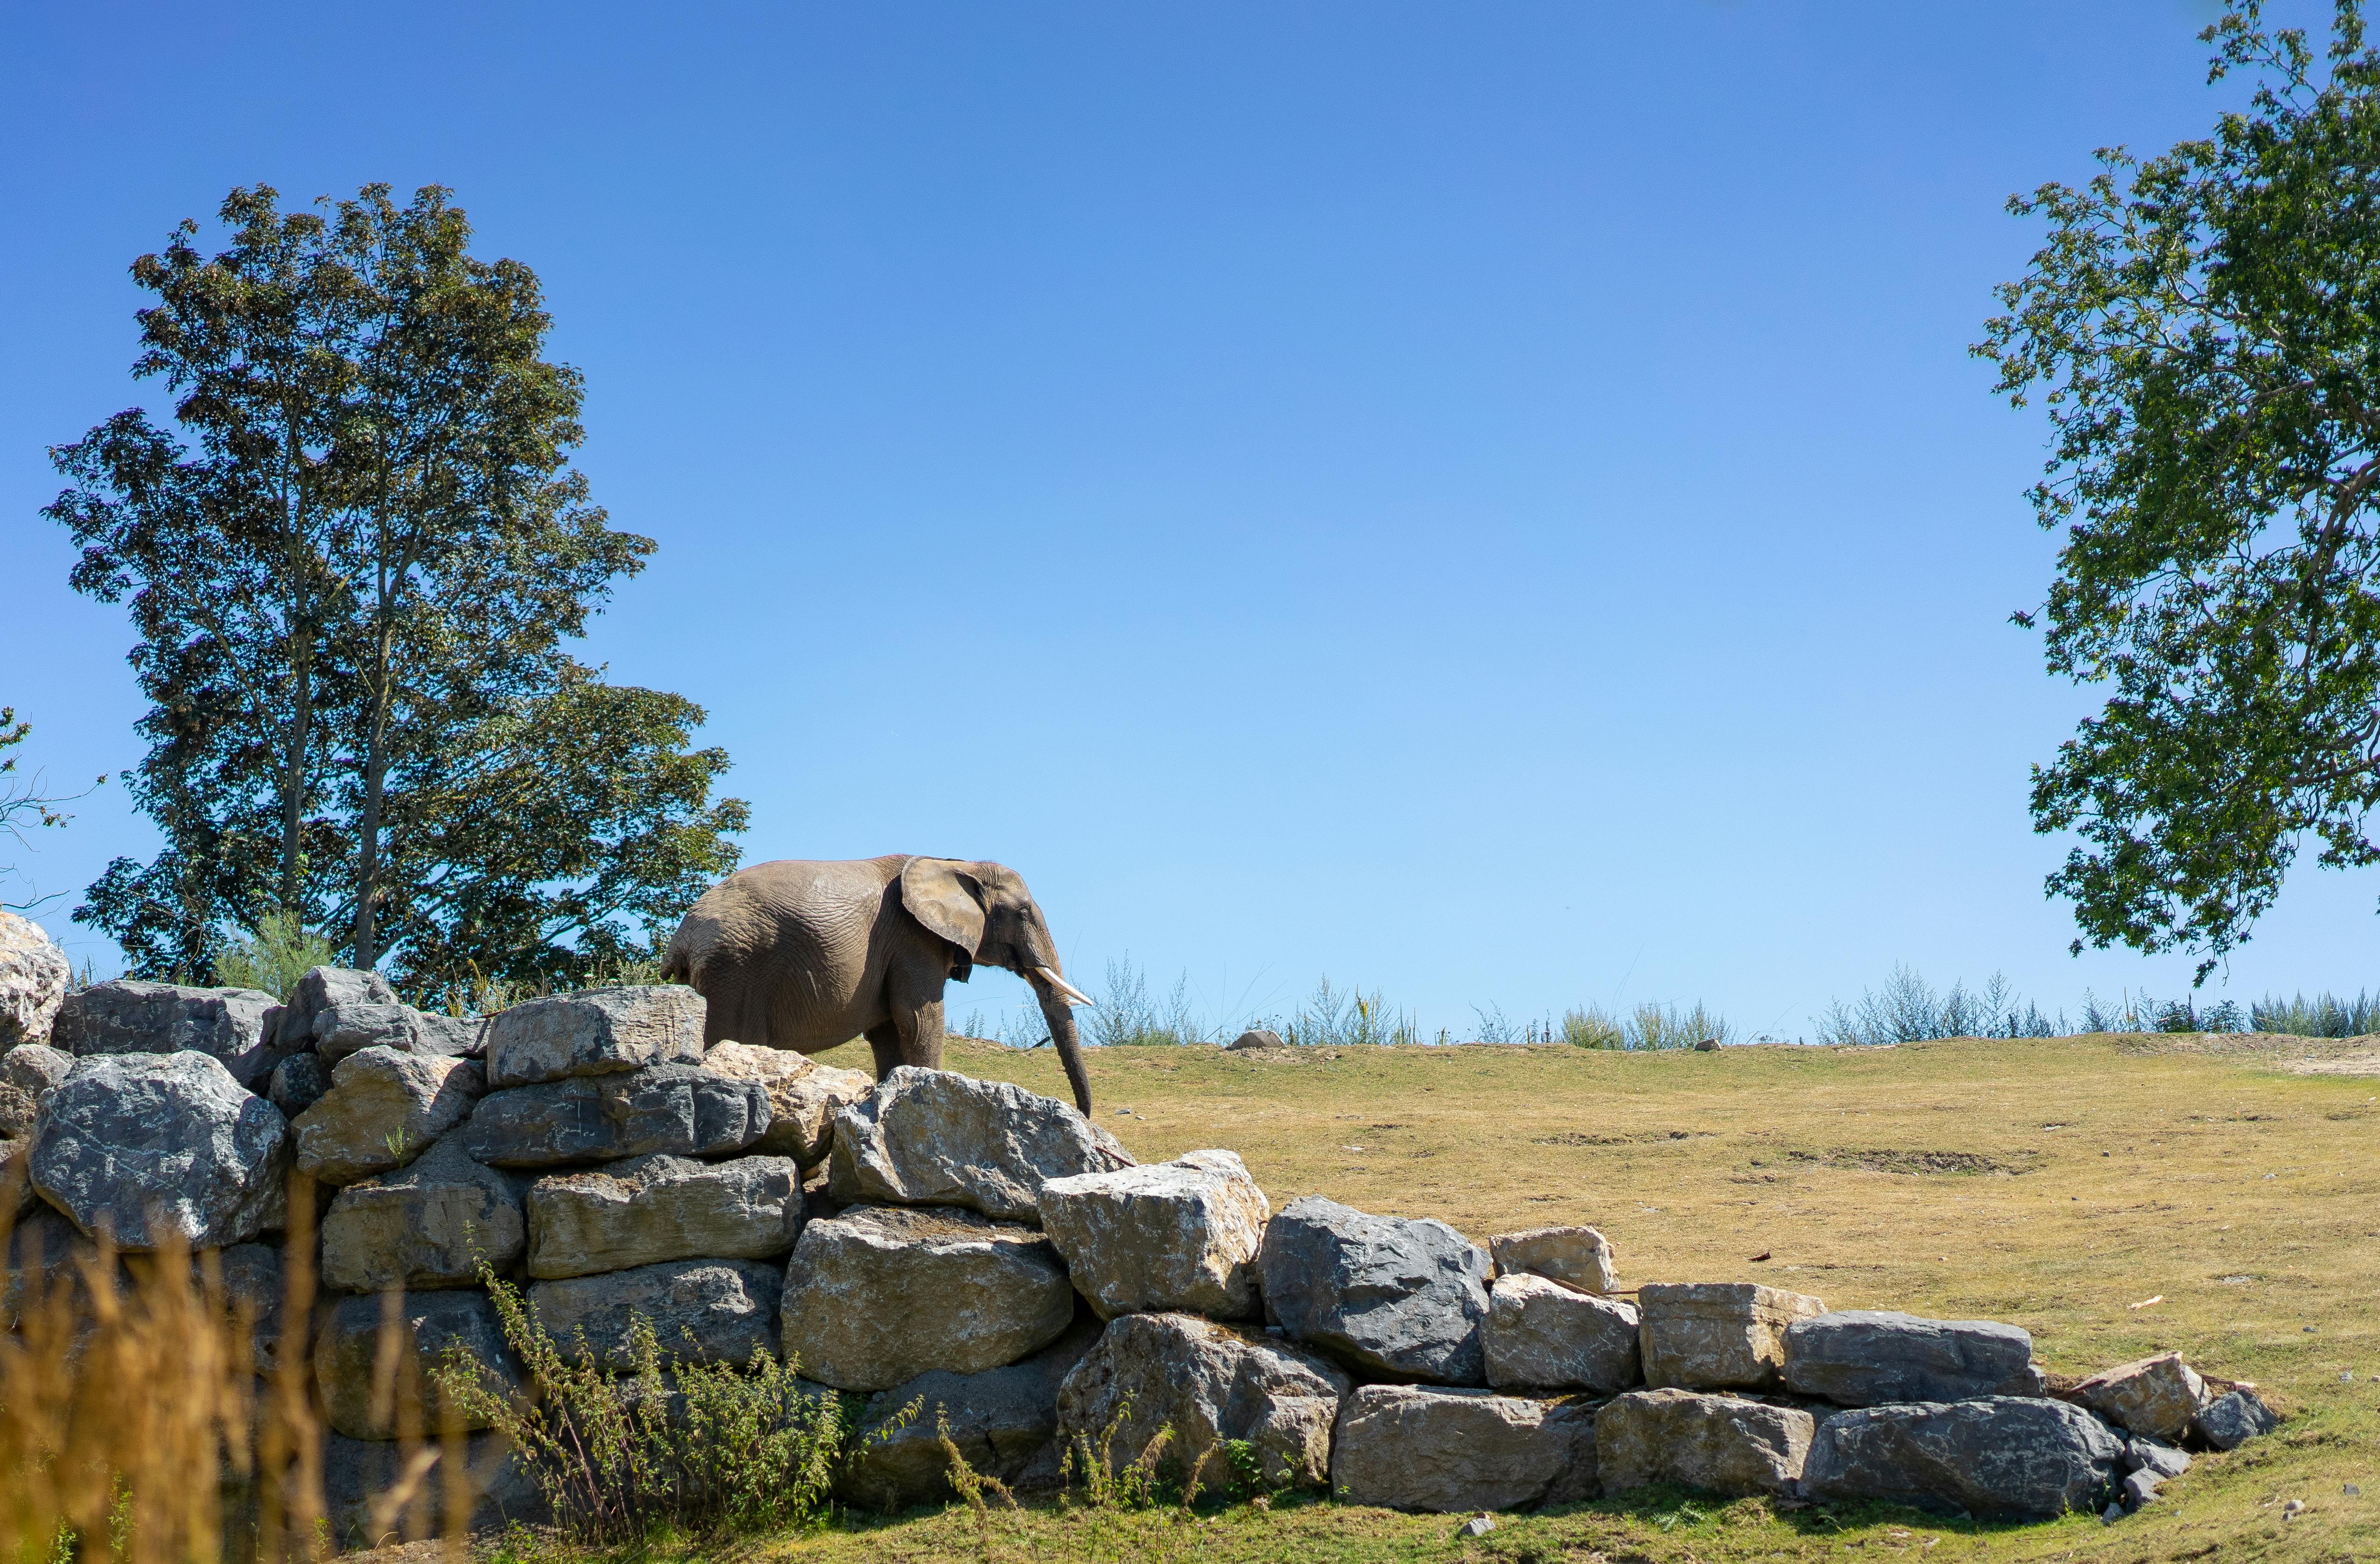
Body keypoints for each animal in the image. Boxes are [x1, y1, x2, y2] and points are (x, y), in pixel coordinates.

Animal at [657, 852, 1090, 1109]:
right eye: (1022, 913)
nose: (1083, 1113)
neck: (959, 862)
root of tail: (682, 940)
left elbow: (888, 1033)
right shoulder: (913, 940)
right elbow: (918, 1020)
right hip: (734, 970)